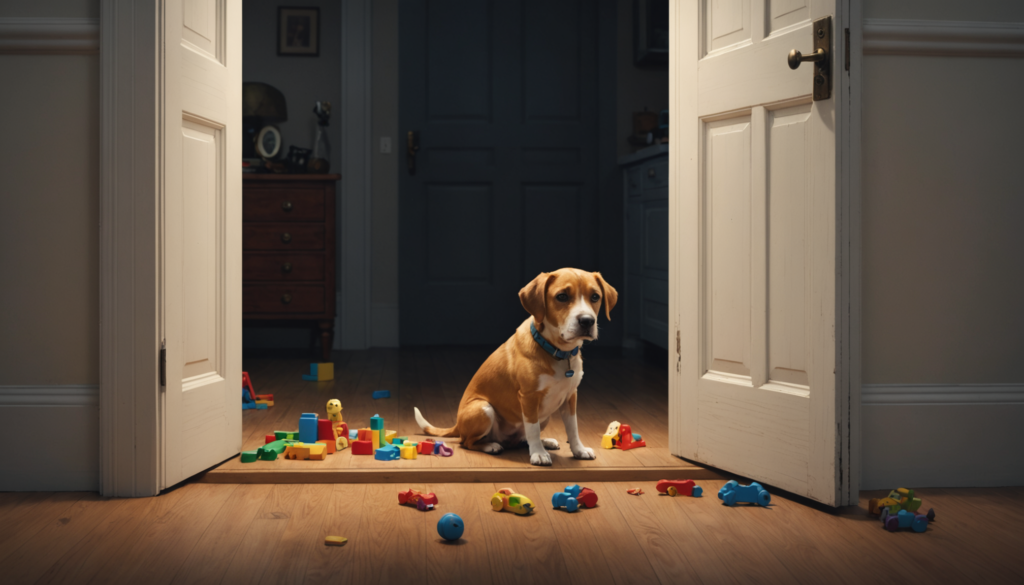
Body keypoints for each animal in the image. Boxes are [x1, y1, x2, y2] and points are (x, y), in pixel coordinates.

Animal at [413, 268, 614, 467]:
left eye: (595, 297)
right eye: (562, 296)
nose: (587, 321)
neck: (558, 352)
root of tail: (457, 426)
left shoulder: (570, 396)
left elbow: (572, 428)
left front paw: (579, 450)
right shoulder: (529, 397)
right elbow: (532, 428)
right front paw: (538, 454)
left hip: (545, 416)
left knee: (521, 439)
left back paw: (545, 442)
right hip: (483, 408)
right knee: (468, 442)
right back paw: (492, 446)